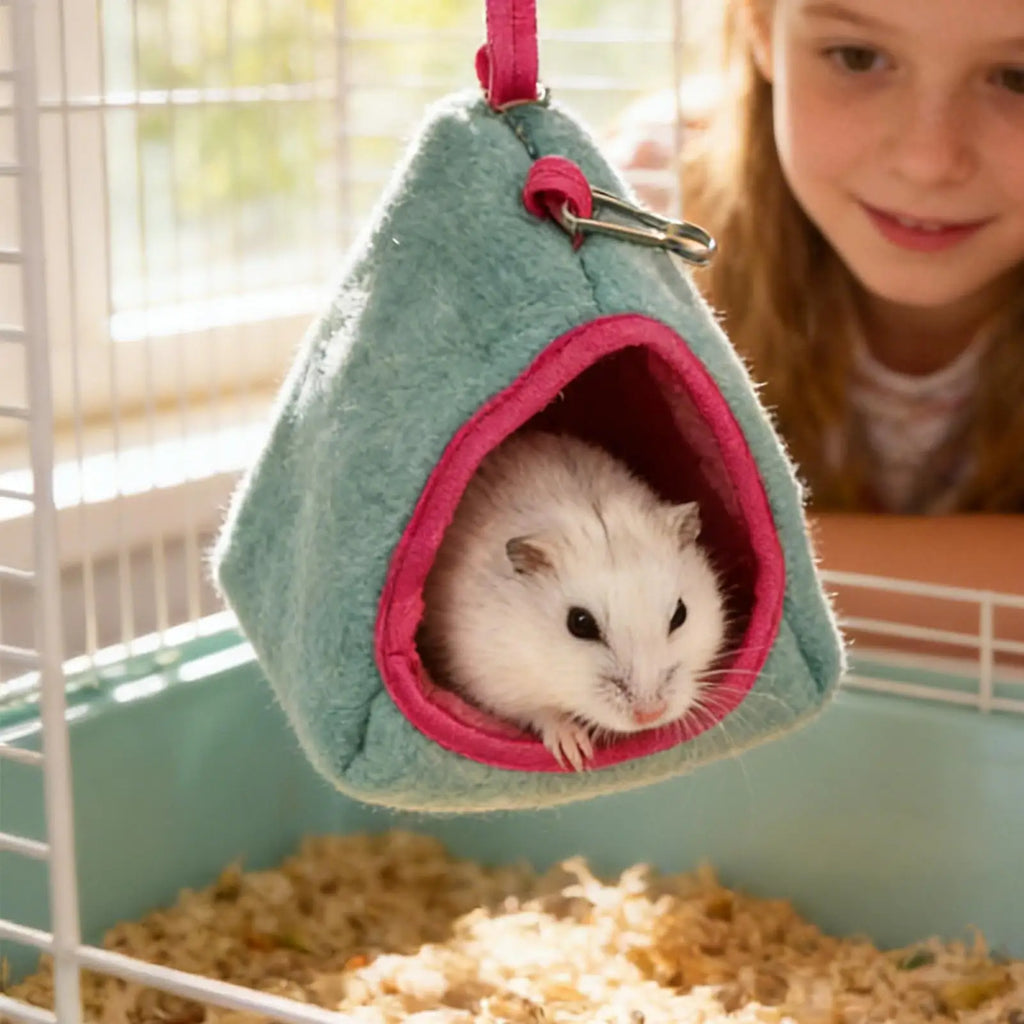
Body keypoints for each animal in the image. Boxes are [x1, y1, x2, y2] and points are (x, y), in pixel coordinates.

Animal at [417, 430, 727, 771]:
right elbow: (539, 711)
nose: (650, 715)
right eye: (580, 624)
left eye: (680, 615)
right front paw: (576, 755)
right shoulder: (492, 676)